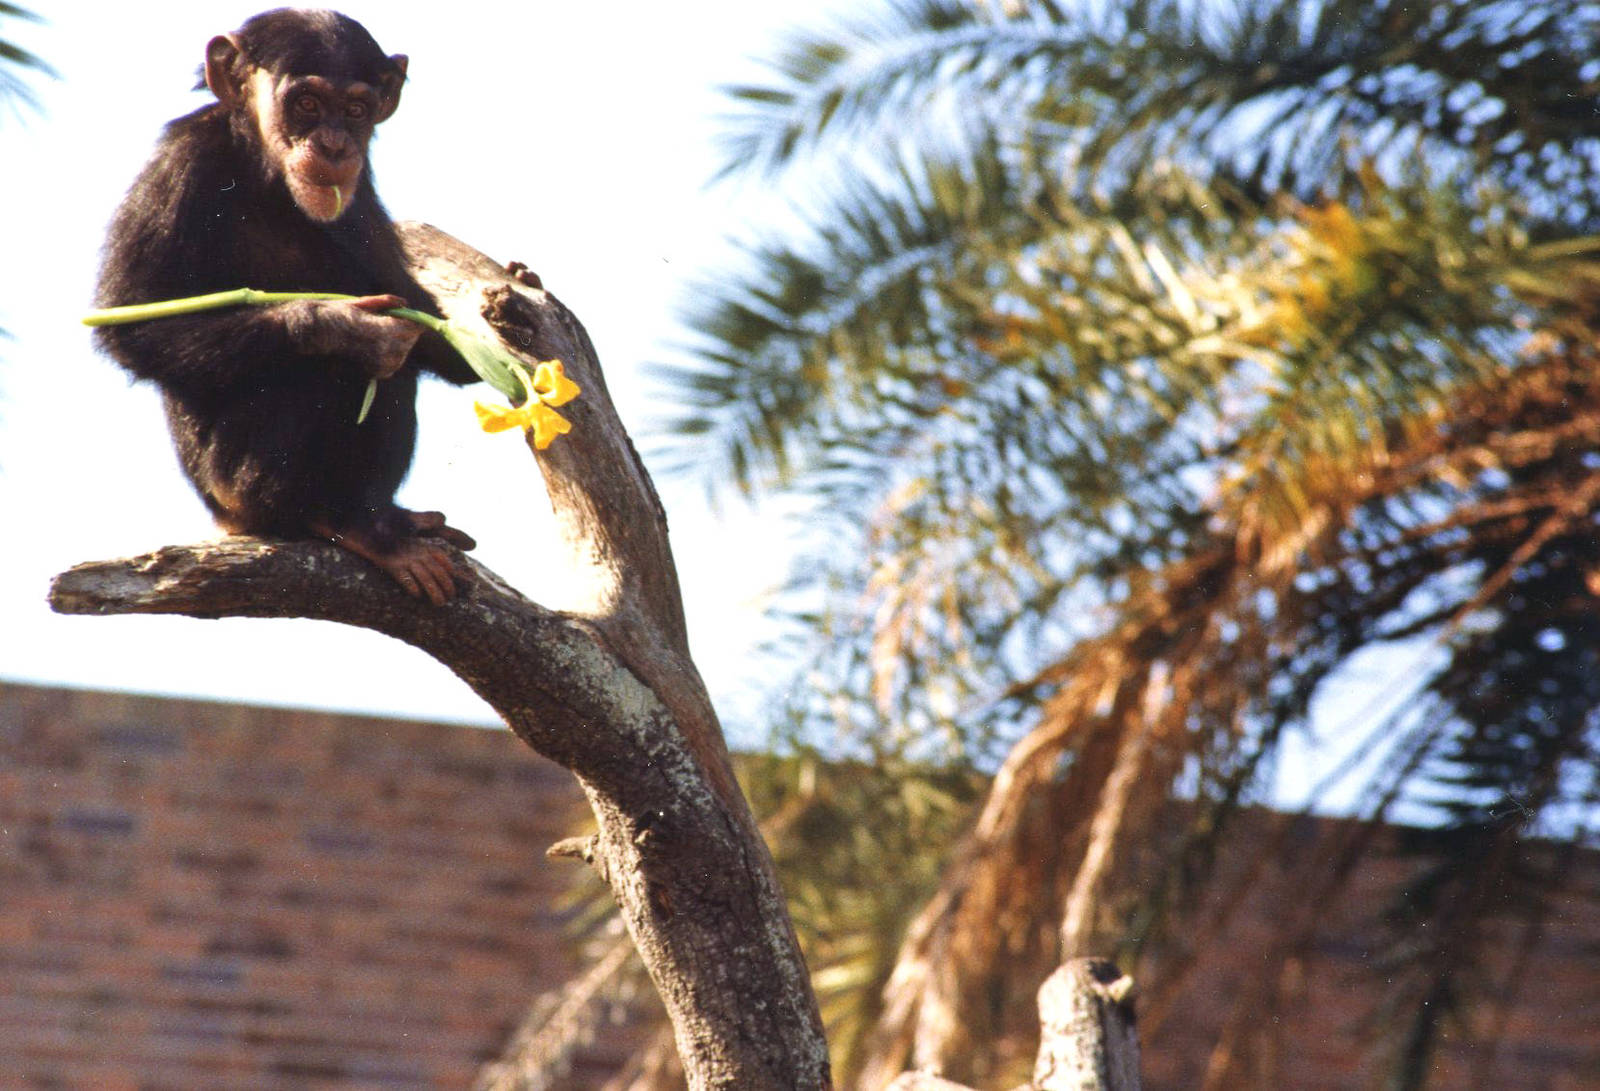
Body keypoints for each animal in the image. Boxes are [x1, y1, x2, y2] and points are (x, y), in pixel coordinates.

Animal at [93, 9, 479, 605]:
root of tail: (226, 521)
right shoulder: (179, 167)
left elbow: (413, 307)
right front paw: (350, 327)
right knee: (336, 371)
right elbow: (134, 321)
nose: (335, 144)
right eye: (306, 104)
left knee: (398, 369)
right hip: (235, 489)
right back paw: (347, 522)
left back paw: (387, 518)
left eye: (356, 110)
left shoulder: (362, 193)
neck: (262, 168)